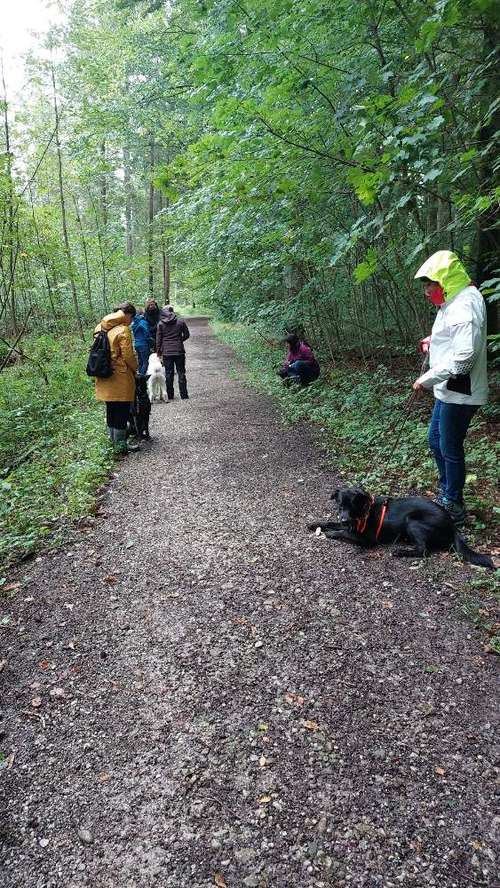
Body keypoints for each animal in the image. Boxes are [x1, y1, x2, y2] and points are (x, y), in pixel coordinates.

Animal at [306, 486, 494, 568]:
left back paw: (401, 551)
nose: (345, 519)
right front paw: (315, 524)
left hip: (413, 521)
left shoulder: (366, 538)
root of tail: (452, 526)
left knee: (424, 551)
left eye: (352, 506)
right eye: (340, 505)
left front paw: (331, 534)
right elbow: (330, 522)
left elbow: (341, 532)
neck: (364, 511)